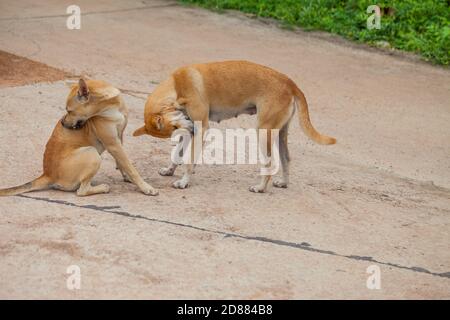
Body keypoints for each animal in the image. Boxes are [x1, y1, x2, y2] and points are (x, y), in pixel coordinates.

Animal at [0, 79, 158, 196]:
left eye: (69, 111)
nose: (62, 123)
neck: (110, 106)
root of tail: (47, 175)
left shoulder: (119, 137)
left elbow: (123, 163)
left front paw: (128, 178)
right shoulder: (113, 144)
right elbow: (131, 167)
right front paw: (145, 187)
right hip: (92, 153)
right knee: (81, 191)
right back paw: (102, 188)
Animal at [132, 61, 336, 194]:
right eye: (173, 129)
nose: (190, 129)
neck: (176, 85)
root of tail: (290, 83)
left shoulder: (199, 128)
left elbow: (189, 161)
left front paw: (183, 182)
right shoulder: (190, 131)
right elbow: (177, 154)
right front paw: (170, 170)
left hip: (264, 133)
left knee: (270, 163)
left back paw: (261, 187)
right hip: (279, 133)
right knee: (286, 158)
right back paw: (283, 183)